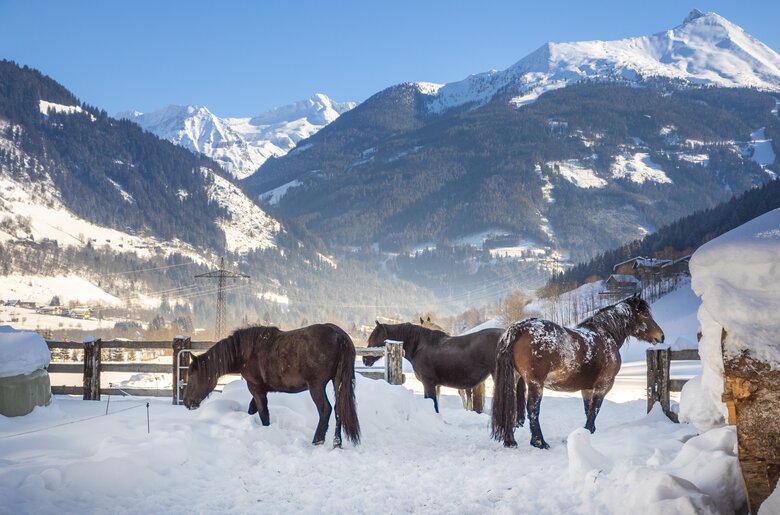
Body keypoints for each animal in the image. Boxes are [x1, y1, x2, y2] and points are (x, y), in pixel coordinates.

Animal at [184, 322, 362, 448]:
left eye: (191, 377)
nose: (187, 403)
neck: (246, 352)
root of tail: (339, 336)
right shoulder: (260, 389)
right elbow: (252, 409)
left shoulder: (255, 387)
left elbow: (264, 413)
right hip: (337, 381)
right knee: (339, 409)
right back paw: (337, 442)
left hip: (316, 386)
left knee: (325, 409)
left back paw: (318, 440)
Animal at [490, 296, 660, 450]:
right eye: (645, 314)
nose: (660, 336)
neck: (606, 334)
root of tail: (520, 328)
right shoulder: (603, 385)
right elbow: (594, 410)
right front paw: (588, 431)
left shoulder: (587, 389)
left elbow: (588, 409)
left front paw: (588, 433)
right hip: (535, 384)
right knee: (532, 409)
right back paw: (539, 442)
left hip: (514, 379)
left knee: (510, 407)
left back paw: (510, 441)